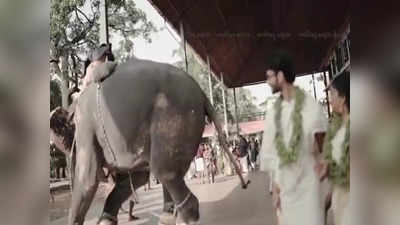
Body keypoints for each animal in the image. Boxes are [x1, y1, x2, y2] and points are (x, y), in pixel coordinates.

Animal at [49, 58, 247, 225]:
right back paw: (167, 216)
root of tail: (201, 93)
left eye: (61, 137)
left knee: (164, 172)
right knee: (170, 174)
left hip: (175, 116)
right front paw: (106, 220)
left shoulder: (85, 123)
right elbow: (137, 178)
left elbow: (87, 179)